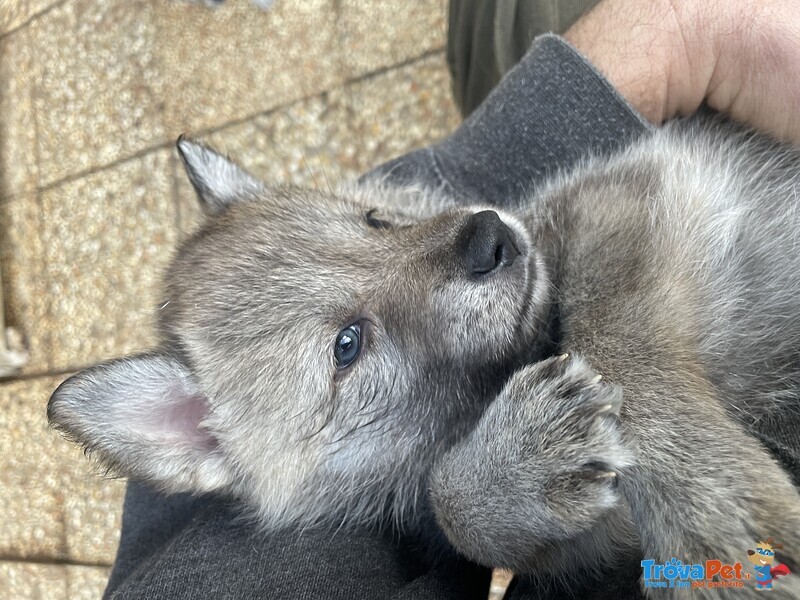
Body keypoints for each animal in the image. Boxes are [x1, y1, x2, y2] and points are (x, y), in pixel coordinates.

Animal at [47, 117, 796, 596]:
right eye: (348, 345)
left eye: (375, 219)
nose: (489, 235)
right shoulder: (598, 536)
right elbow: (455, 507)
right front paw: (519, 467)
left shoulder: (633, 193)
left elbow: (620, 345)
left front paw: (717, 515)